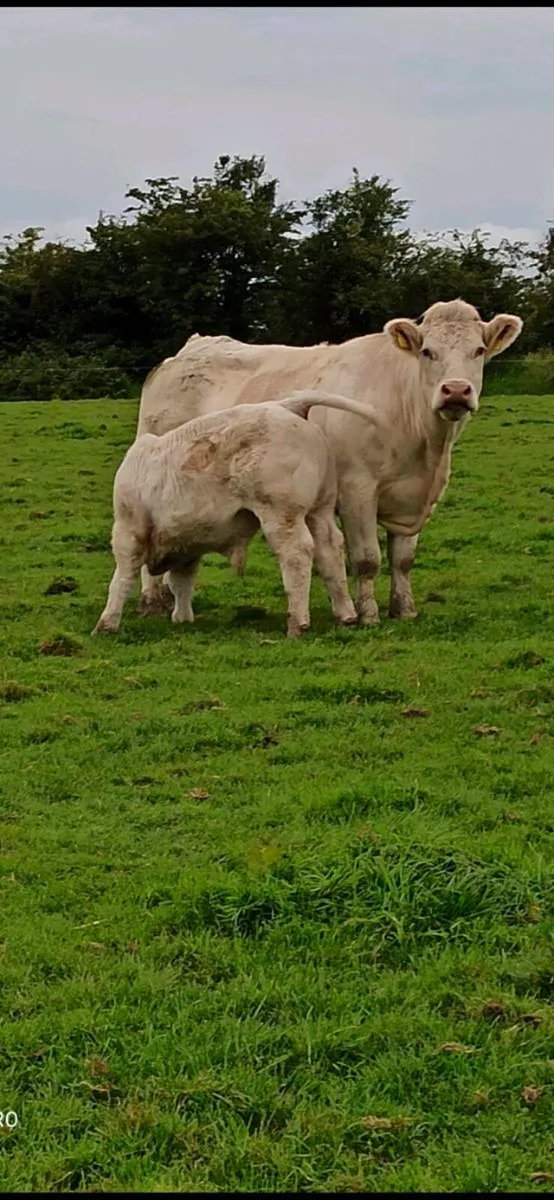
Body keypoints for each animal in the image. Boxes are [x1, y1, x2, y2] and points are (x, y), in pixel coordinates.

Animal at [92, 391, 384, 639]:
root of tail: (286, 406)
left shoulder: (129, 529)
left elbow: (123, 577)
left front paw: (106, 624)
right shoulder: (188, 543)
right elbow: (181, 581)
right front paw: (182, 618)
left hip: (281, 513)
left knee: (297, 554)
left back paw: (297, 623)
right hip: (319, 509)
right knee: (330, 549)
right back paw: (346, 615)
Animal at [135, 300, 523, 625]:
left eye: (478, 350)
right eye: (428, 351)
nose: (455, 390)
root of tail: (192, 347)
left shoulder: (414, 497)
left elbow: (402, 559)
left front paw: (405, 609)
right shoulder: (357, 490)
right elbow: (367, 559)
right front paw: (369, 615)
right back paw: (152, 600)